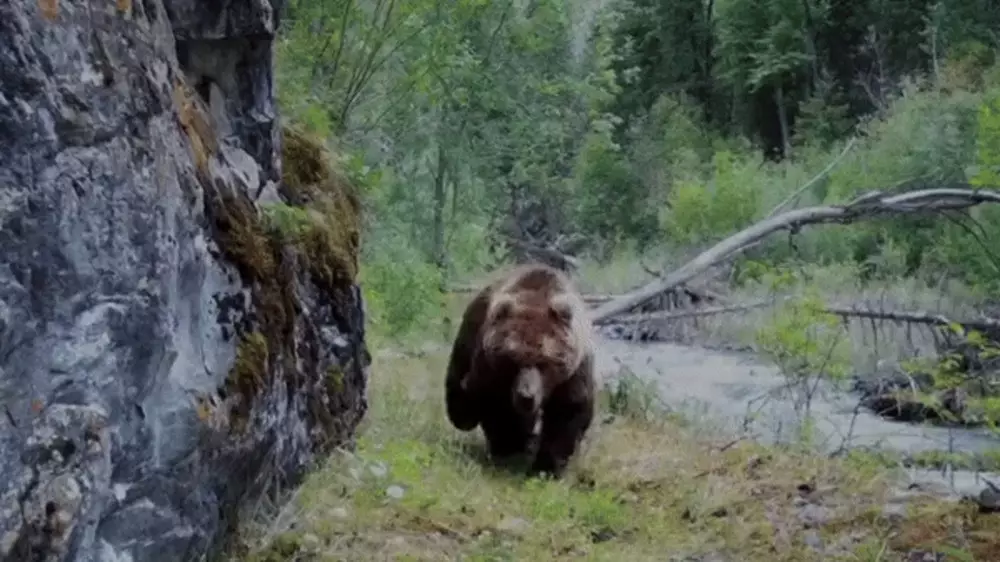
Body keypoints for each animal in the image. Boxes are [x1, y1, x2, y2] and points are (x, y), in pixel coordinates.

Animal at [444, 264, 592, 476]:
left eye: (545, 362)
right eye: (513, 360)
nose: (526, 396)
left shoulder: (574, 372)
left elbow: (567, 411)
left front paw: (546, 467)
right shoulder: (490, 369)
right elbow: (498, 408)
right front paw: (509, 448)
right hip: (470, 333)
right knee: (461, 397)